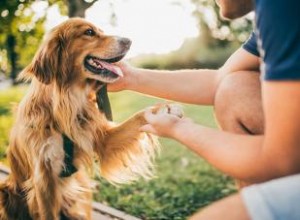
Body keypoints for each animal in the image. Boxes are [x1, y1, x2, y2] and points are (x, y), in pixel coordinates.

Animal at [0, 18, 183, 219]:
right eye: (89, 32)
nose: (128, 41)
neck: (65, 104)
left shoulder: (101, 139)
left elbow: (136, 119)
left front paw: (164, 110)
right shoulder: (44, 178)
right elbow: (48, 213)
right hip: (7, 191)